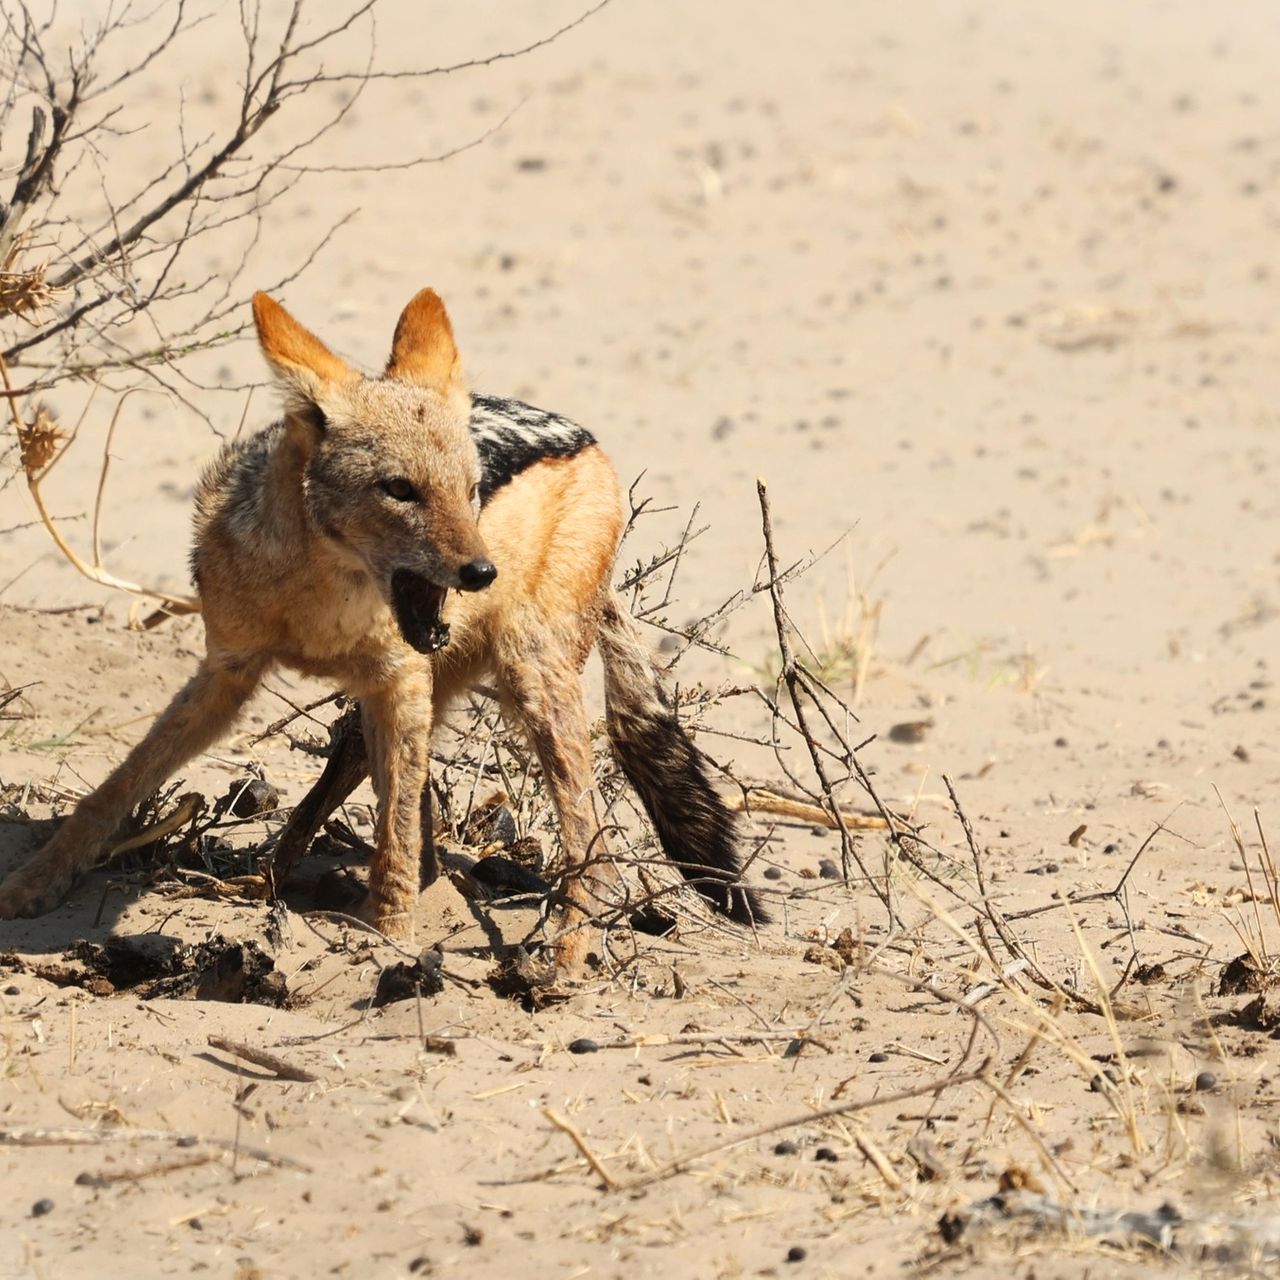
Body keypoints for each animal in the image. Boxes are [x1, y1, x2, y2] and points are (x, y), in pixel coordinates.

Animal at [0, 288, 765, 971]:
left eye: (470, 489)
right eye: (400, 490)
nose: (481, 571)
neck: (318, 605)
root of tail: (585, 436)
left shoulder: (398, 682)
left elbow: (393, 836)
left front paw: (390, 939)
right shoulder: (229, 675)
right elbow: (117, 786)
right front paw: (36, 883)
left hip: (527, 682)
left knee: (591, 848)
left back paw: (566, 957)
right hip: (435, 689)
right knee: (377, 798)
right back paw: (275, 876)